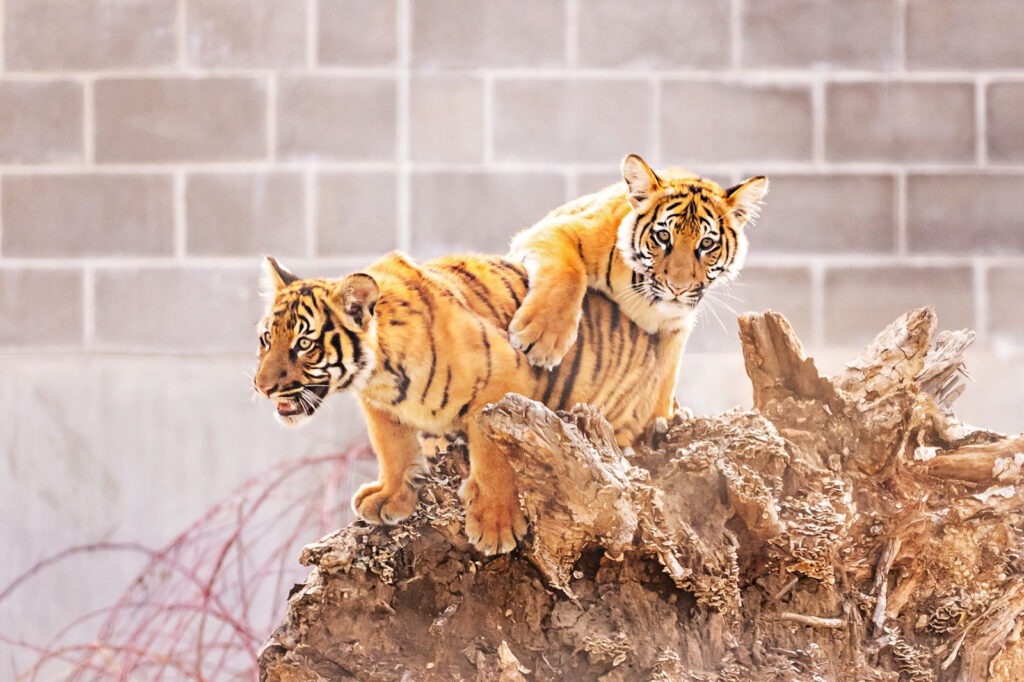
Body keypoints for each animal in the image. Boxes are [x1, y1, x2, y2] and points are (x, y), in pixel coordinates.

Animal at [253, 251, 685, 555]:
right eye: (267, 338)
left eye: (304, 344)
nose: (261, 387)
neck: (378, 375)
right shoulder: (382, 408)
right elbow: (393, 449)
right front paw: (392, 496)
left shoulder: (503, 384)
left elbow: (492, 454)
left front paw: (494, 525)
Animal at [508, 153, 768, 371]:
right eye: (663, 236)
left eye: (706, 244)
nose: (678, 288)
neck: (647, 302)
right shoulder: (555, 228)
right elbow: (570, 275)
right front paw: (542, 340)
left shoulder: (677, 329)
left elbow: (664, 382)